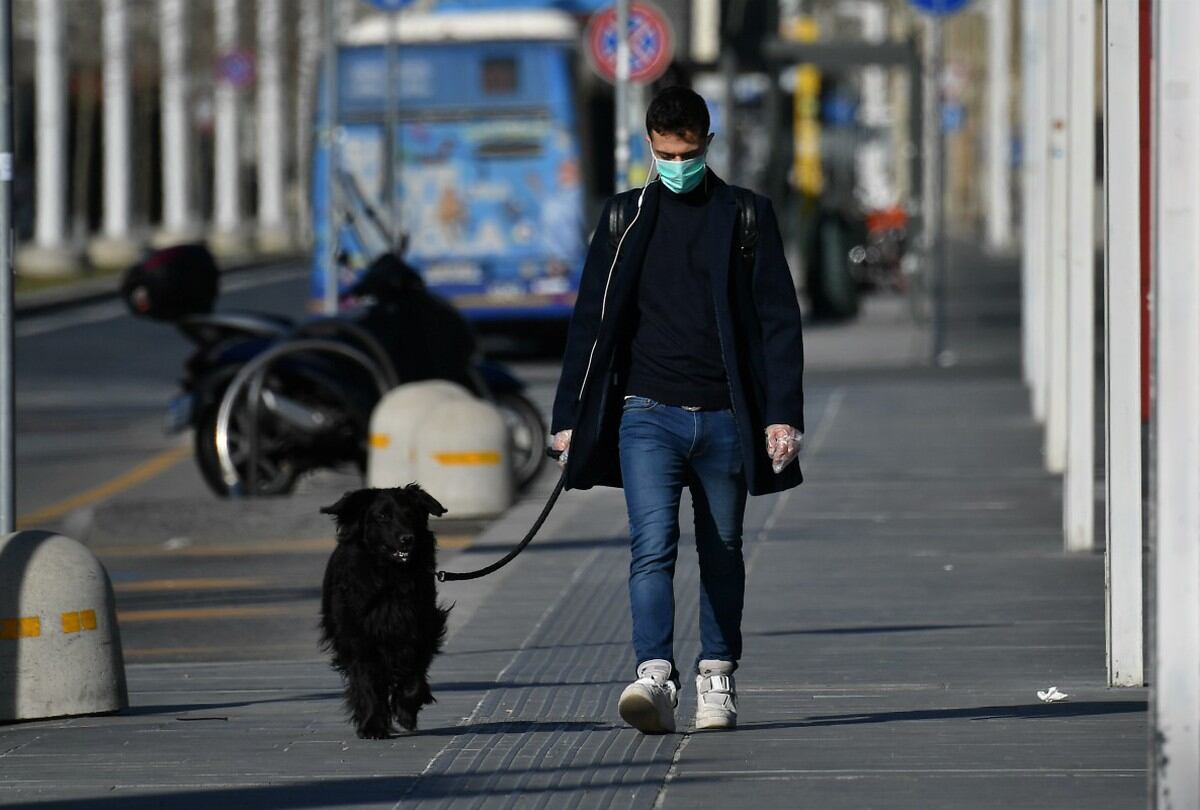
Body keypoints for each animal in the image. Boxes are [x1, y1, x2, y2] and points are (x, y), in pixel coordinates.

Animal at [319, 484, 451, 739]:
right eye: (382, 516)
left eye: (410, 514)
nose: (407, 539)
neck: (391, 578)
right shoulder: (358, 636)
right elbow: (367, 681)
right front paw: (372, 725)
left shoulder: (422, 628)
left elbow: (415, 675)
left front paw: (406, 711)